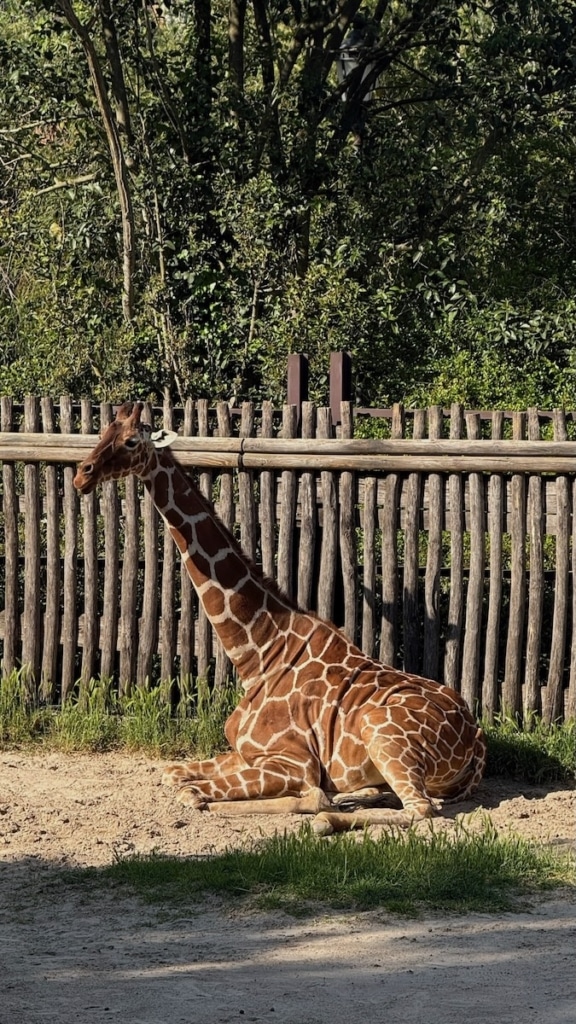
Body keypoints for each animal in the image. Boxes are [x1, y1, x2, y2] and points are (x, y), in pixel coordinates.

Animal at [73, 401, 487, 835]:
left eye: (130, 441)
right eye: (103, 431)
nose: (82, 474)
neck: (256, 654)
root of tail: (477, 741)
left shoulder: (295, 762)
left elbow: (192, 791)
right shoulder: (244, 752)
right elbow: (174, 773)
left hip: (383, 733)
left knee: (419, 808)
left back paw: (325, 818)